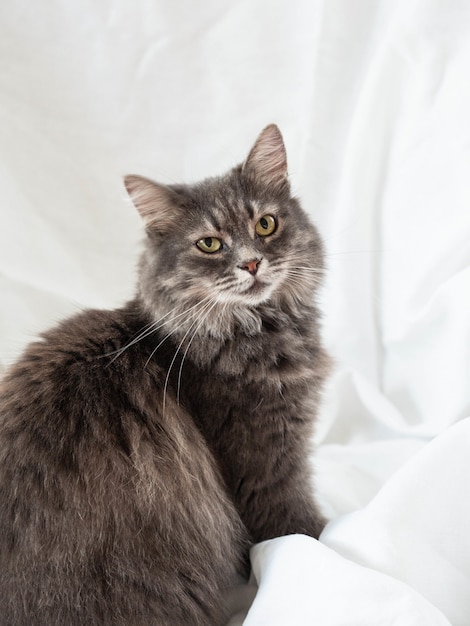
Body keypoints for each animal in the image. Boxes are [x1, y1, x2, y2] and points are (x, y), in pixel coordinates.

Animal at [0, 124, 330, 620]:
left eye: (265, 225)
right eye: (209, 244)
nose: (252, 263)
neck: (255, 329)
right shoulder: (265, 463)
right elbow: (300, 530)